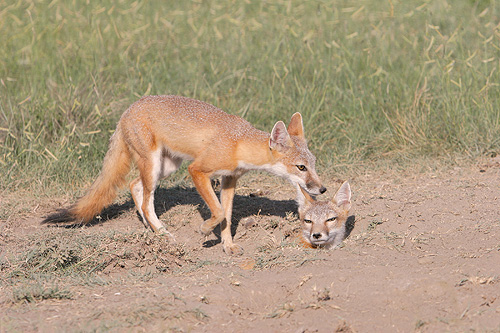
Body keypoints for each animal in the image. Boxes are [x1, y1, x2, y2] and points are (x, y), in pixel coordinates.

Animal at [46, 95, 328, 254]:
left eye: (313, 164)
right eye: (301, 168)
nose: (322, 189)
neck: (239, 143)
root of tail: (127, 110)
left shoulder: (229, 180)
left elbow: (226, 216)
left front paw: (227, 245)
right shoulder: (198, 171)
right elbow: (216, 212)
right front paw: (204, 230)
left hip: (166, 167)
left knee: (136, 187)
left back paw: (152, 229)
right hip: (156, 164)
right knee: (144, 199)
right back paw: (162, 233)